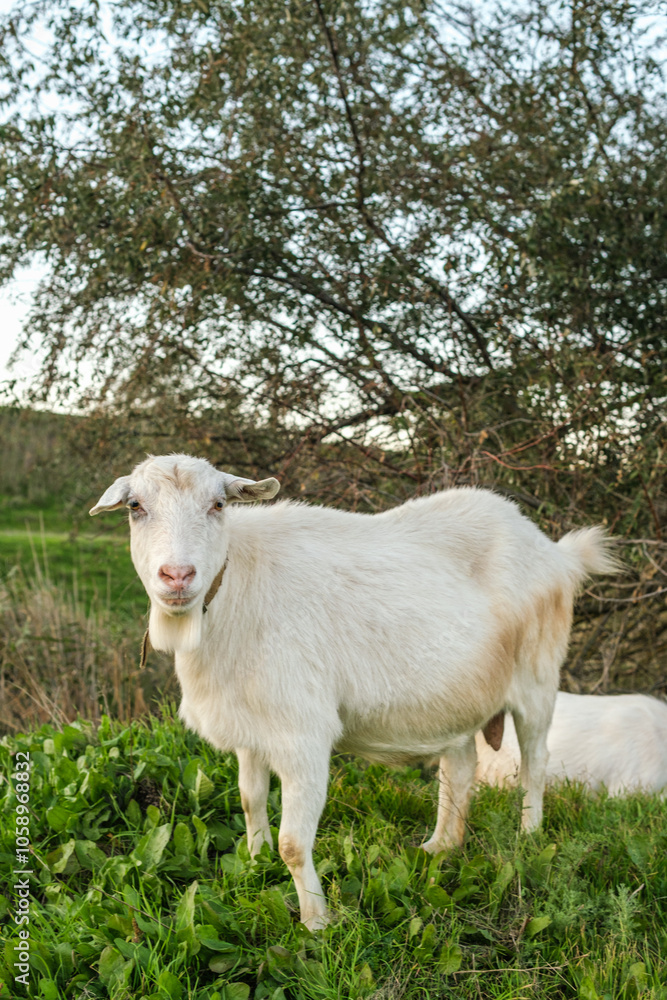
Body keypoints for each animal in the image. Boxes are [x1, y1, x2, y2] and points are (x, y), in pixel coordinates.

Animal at [91, 454, 617, 929]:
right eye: (135, 506)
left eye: (218, 504)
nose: (177, 576)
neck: (238, 586)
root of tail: (557, 553)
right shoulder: (250, 726)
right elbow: (250, 801)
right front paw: (255, 863)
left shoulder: (302, 735)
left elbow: (294, 844)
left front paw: (316, 925)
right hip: (457, 698)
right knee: (462, 766)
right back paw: (440, 846)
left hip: (538, 678)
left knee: (535, 762)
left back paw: (528, 836)